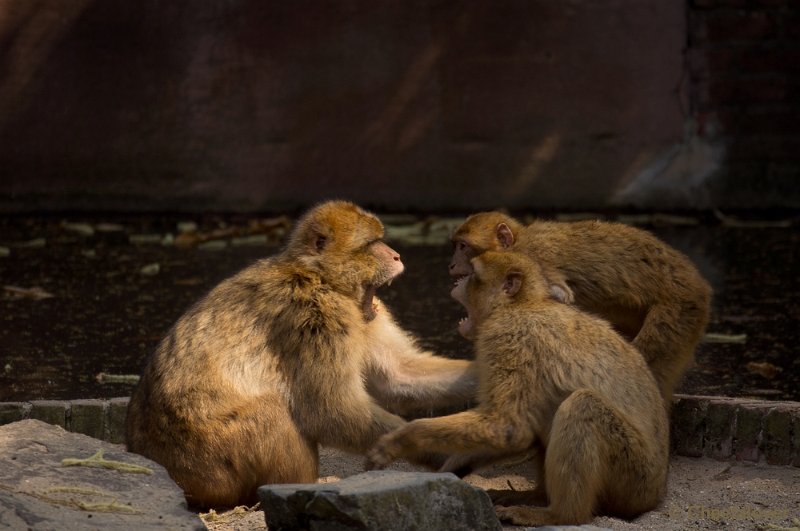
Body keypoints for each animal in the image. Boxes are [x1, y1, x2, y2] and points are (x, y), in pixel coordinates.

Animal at [124, 202, 476, 510]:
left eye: (381, 240)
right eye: (371, 244)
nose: (396, 254)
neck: (319, 276)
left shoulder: (363, 315)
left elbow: (398, 375)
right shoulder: (315, 315)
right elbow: (332, 410)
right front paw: (435, 451)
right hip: (211, 463)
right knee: (272, 410)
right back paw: (294, 487)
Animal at [368, 252, 668, 528]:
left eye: (472, 273)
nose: (456, 281)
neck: (521, 305)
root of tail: (655, 495)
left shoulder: (508, 337)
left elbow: (510, 428)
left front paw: (404, 439)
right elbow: (520, 434)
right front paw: (449, 471)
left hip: (633, 476)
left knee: (582, 405)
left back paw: (560, 514)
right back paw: (537, 497)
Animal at [450, 212, 712, 404]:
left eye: (463, 246)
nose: (451, 265)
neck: (518, 241)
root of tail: (699, 282)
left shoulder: (534, 256)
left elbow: (560, 296)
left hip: (681, 308)